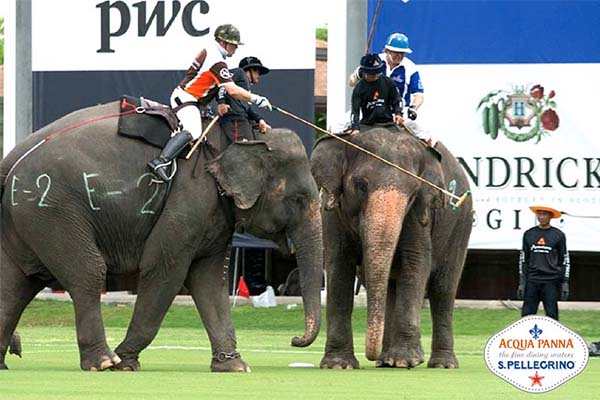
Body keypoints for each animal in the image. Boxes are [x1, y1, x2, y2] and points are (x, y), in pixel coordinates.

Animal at [1, 101, 324, 372]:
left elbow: (210, 281)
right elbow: (164, 269)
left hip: (29, 219)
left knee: (15, 286)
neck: (242, 136)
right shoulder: (190, 196)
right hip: (51, 209)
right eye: (297, 200)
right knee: (87, 272)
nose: (295, 341)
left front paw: (234, 367)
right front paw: (126, 362)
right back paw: (104, 362)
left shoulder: (215, 213)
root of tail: (13, 157)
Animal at [310, 126, 474, 368]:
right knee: (389, 287)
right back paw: (385, 361)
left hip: (460, 224)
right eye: (361, 185)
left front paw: (406, 361)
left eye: (413, 192)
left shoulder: (419, 213)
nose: (370, 355)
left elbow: (415, 261)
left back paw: (441, 364)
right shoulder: (331, 210)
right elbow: (339, 265)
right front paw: (338, 365)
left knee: (443, 287)